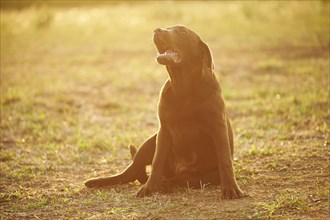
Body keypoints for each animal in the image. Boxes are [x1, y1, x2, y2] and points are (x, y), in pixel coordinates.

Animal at [85, 24, 245, 199]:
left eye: (182, 31)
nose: (157, 30)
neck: (183, 86)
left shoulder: (218, 128)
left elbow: (225, 161)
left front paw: (231, 188)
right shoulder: (164, 131)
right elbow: (157, 161)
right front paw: (149, 188)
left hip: (202, 177)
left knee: (178, 180)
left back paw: (163, 184)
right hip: (150, 141)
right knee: (132, 171)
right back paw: (101, 181)